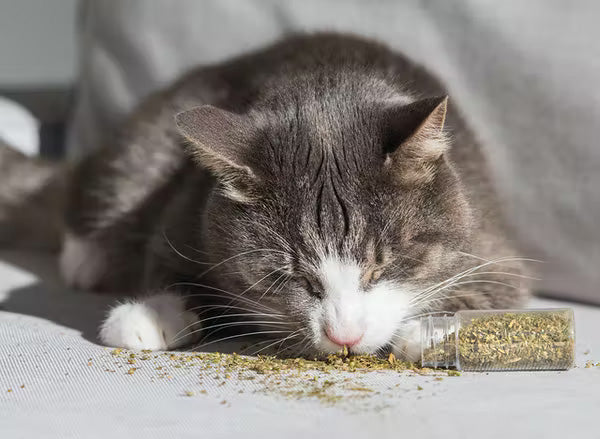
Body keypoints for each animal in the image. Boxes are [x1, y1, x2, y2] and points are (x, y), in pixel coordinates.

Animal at [0, 33, 528, 358]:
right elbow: (165, 260)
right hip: (150, 139)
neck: (331, 84)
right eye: (288, 276)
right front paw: (150, 312)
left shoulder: (489, 235)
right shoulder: (189, 208)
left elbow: (495, 284)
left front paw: (427, 331)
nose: (344, 335)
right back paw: (89, 258)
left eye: (382, 267)